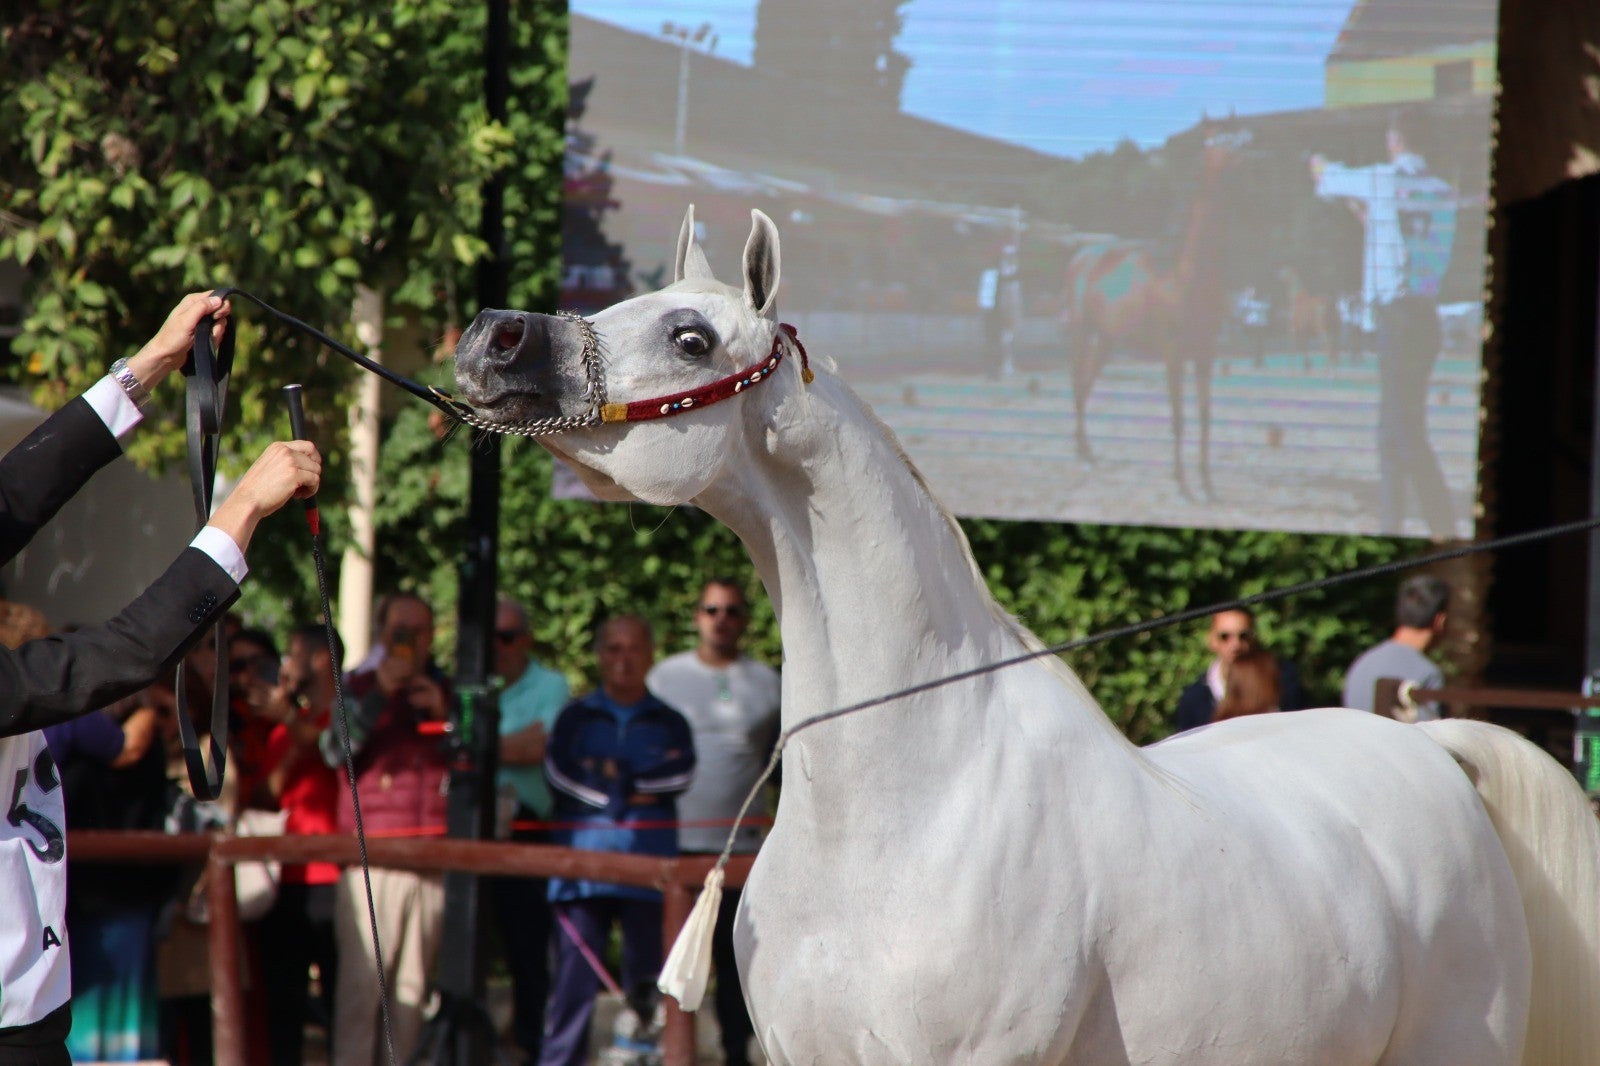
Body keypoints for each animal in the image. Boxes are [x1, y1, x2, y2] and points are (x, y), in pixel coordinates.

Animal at [1062, 134, 1239, 499]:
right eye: (1217, 162)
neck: (1186, 273)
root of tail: (1082, 256)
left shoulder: (1206, 353)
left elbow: (1205, 415)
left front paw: (1207, 482)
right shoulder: (1174, 353)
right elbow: (1178, 416)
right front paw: (1182, 481)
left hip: (1106, 341)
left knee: (1085, 385)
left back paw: (1087, 452)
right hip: (1080, 333)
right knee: (1076, 383)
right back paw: (1082, 452)